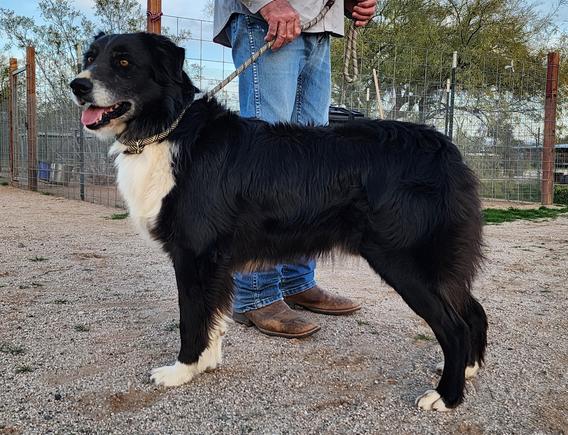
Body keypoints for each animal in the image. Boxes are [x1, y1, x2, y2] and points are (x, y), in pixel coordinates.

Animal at [72, 32, 488, 410]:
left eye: (124, 63)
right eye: (90, 58)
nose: (78, 85)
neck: (167, 129)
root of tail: (445, 149)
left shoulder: (195, 255)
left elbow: (191, 318)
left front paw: (182, 370)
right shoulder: (215, 263)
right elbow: (212, 317)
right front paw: (207, 362)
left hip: (403, 261)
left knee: (455, 327)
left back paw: (447, 396)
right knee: (473, 312)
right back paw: (468, 371)